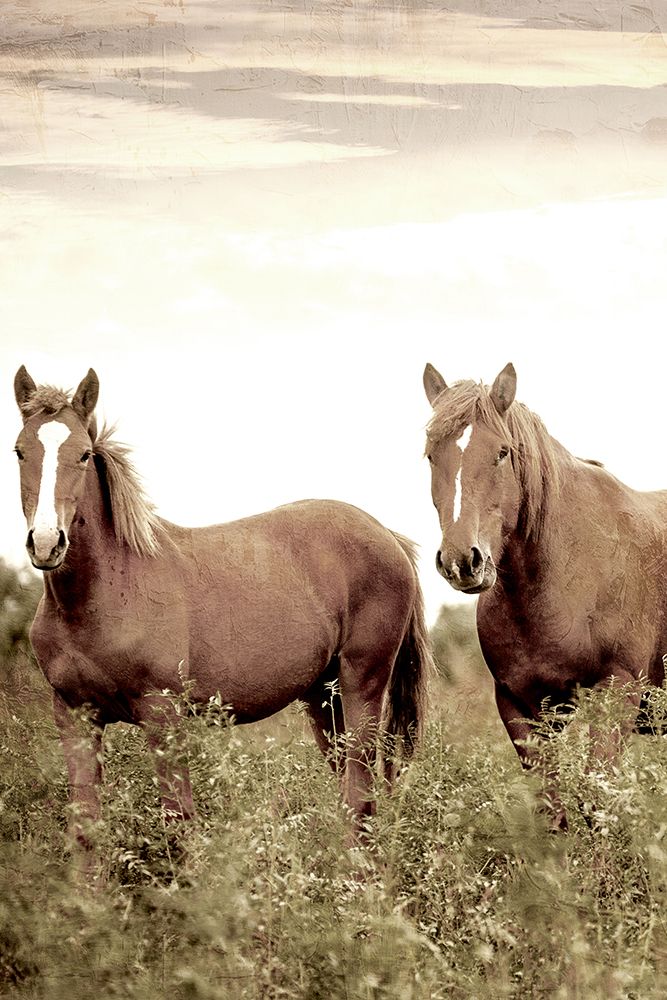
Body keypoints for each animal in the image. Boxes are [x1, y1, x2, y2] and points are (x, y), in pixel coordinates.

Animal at [13, 365, 432, 861]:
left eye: (82, 454)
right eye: (19, 451)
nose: (45, 543)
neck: (101, 596)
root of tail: (387, 535)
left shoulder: (163, 717)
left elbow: (178, 825)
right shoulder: (75, 717)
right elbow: (85, 831)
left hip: (361, 684)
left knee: (360, 790)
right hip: (322, 698)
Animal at [422, 360, 667, 829]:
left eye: (502, 452)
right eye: (430, 454)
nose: (462, 560)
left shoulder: (616, 695)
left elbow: (596, 804)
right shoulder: (520, 704)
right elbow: (553, 809)